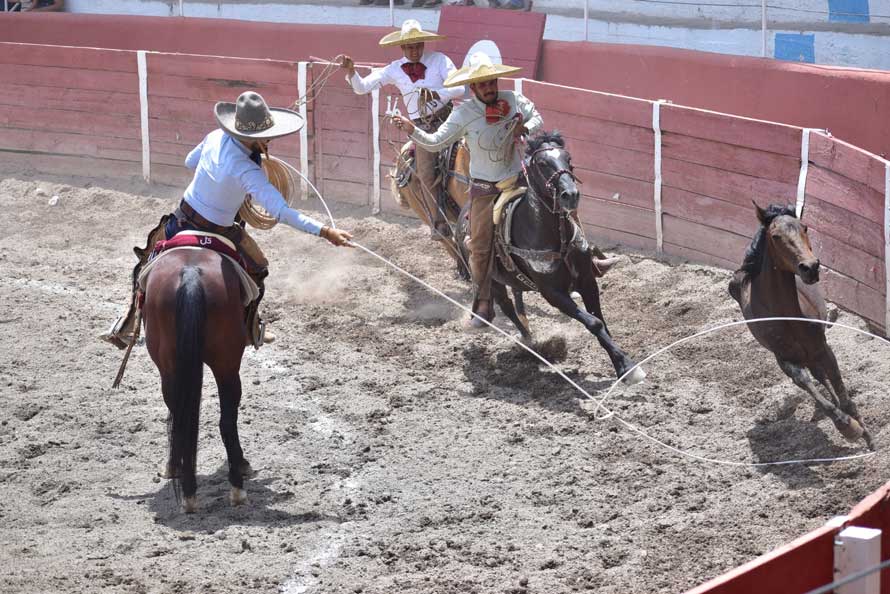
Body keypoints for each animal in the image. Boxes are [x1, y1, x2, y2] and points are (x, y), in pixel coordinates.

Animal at [141, 244, 253, 508]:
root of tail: (191, 273)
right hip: (226, 365)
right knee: (226, 421)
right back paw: (235, 486)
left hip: (171, 367)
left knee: (183, 419)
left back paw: (189, 489)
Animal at [454, 131, 640, 384]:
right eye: (542, 164)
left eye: (568, 159)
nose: (570, 195)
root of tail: (462, 216)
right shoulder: (552, 293)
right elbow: (593, 322)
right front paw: (626, 366)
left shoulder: (587, 281)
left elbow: (600, 319)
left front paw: (623, 363)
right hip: (490, 279)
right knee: (506, 305)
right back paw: (531, 345)